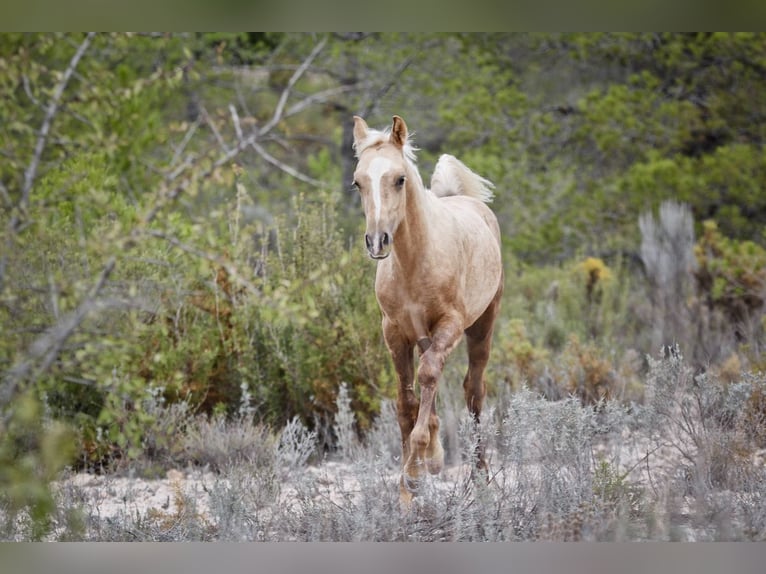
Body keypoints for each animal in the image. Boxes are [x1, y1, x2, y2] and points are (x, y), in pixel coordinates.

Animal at [352, 113, 504, 504]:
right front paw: (410, 483)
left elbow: (430, 375)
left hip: (482, 326)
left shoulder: (449, 324)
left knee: (473, 390)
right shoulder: (395, 332)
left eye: (399, 179)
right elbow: (406, 401)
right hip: (422, 335)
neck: (414, 261)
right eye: (358, 182)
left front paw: (418, 469)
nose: (377, 242)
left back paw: (480, 477)